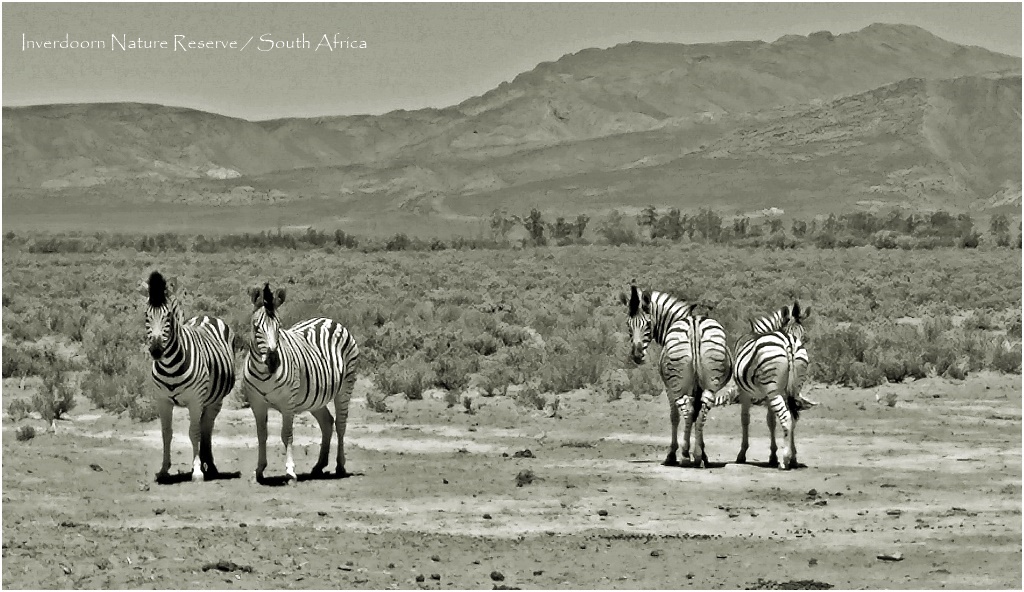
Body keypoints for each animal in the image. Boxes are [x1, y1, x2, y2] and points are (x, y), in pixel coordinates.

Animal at [142, 270, 235, 481]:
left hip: (214, 400)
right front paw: (164, 469)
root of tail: (205, 315)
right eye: (146, 315)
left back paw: (210, 465)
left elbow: (194, 433)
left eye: (168, 316)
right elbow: (166, 433)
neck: (170, 366)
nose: (156, 351)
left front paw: (197, 471)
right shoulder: (162, 400)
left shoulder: (194, 399)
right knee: (203, 426)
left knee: (206, 427)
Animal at [243, 280, 360, 479]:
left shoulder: (287, 403)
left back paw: (340, 466)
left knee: (341, 424)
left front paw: (290, 471)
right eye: (256, 326)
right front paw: (259, 469)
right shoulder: (256, 403)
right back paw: (319, 465)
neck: (265, 374)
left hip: (345, 388)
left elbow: (287, 435)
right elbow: (261, 435)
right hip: (316, 397)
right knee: (327, 423)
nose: (273, 361)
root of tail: (329, 320)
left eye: (279, 326)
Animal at [618, 280, 733, 464]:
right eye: (628, 325)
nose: (636, 356)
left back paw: (685, 454)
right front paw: (703, 452)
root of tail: (694, 326)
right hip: (711, 382)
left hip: (676, 383)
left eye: (648, 324)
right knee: (702, 411)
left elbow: (674, 416)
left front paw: (672, 453)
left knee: (685, 411)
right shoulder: (698, 387)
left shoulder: (669, 387)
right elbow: (696, 413)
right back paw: (697, 455)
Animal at [729, 301, 815, 467]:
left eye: (805, 337)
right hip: (790, 389)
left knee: (786, 417)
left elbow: (745, 419)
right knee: (793, 418)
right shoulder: (771, 393)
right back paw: (793, 458)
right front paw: (773, 456)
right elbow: (771, 421)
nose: (799, 341)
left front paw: (742, 454)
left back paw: (785, 459)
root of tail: (789, 343)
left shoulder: (744, 392)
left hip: (772, 389)